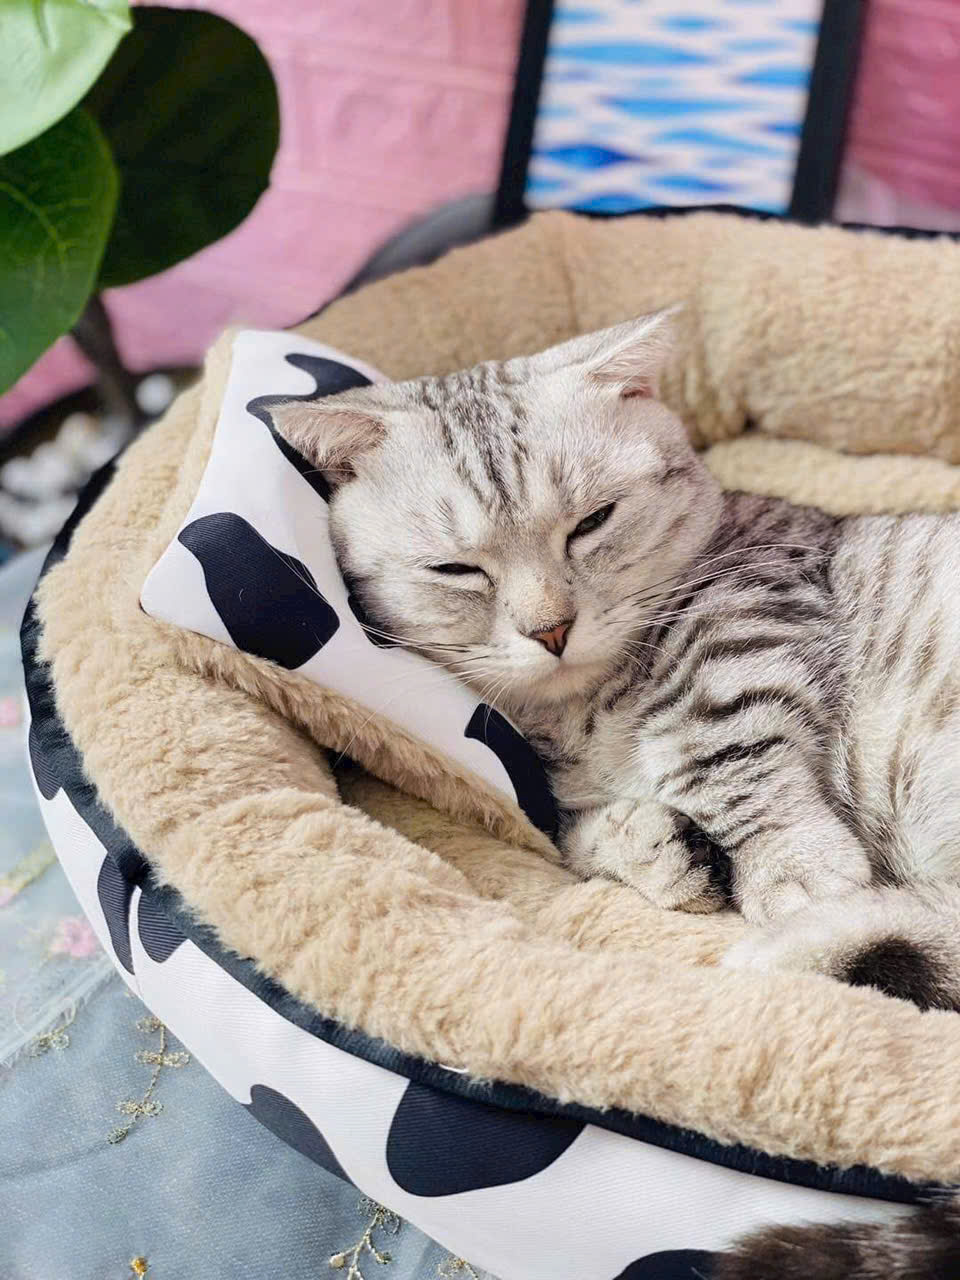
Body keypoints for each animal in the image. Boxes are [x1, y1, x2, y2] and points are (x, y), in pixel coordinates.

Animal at [272, 313, 960, 1276]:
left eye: (592, 523)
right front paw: (660, 850)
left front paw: (788, 868)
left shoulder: (741, 630)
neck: (577, 710)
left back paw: (782, 950)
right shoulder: (557, 788)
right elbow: (575, 831)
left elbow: (714, 752)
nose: (551, 628)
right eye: (457, 571)